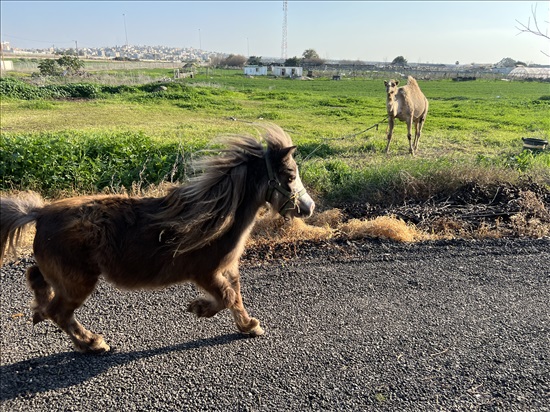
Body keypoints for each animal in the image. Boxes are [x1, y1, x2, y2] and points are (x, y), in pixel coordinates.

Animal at [0, 124, 314, 352]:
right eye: (289, 176)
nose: (308, 208)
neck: (217, 216)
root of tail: (40, 213)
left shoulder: (228, 268)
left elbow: (236, 297)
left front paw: (249, 325)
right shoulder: (205, 272)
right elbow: (226, 296)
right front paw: (199, 309)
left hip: (64, 276)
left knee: (36, 278)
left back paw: (40, 310)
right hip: (78, 281)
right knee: (60, 313)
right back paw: (91, 343)